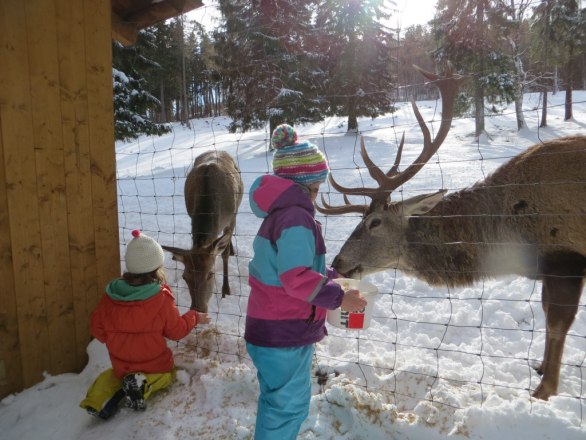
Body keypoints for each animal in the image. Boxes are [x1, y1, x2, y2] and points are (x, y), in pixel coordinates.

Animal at [318, 66, 584, 402]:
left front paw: (544, 392)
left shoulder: (565, 257)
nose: (338, 261)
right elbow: (550, 318)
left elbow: (557, 323)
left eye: (375, 222)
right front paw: (540, 372)